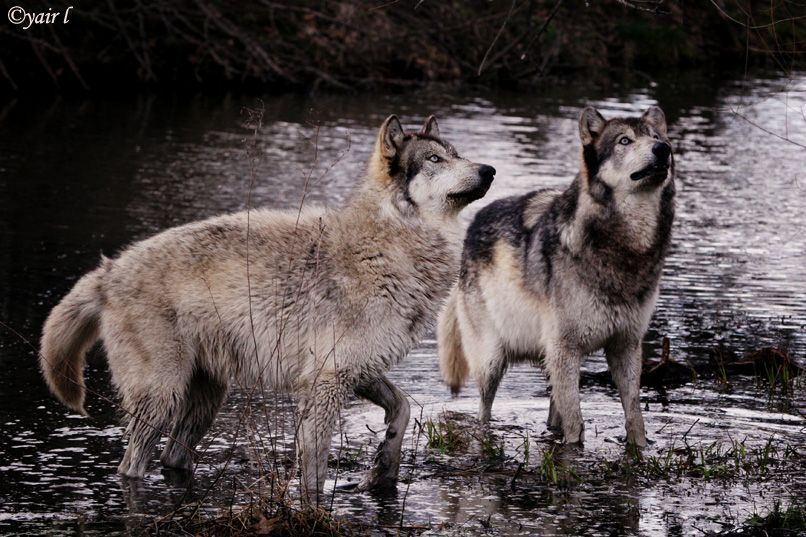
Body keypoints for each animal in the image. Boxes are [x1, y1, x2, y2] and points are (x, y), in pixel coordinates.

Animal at [42, 114, 498, 502]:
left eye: (456, 153)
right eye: (435, 160)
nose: (490, 170)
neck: (388, 245)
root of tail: (110, 271)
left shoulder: (357, 369)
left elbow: (402, 408)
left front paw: (382, 469)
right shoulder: (325, 382)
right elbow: (314, 471)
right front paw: (318, 506)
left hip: (207, 398)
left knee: (173, 458)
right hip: (162, 397)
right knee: (131, 467)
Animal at [438, 103, 672, 444]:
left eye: (656, 137)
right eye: (625, 141)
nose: (663, 149)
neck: (625, 249)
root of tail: (475, 223)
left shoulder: (625, 347)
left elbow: (634, 416)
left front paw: (640, 448)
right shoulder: (566, 349)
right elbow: (576, 423)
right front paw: (574, 450)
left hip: (550, 358)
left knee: (553, 408)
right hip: (494, 360)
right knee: (484, 408)